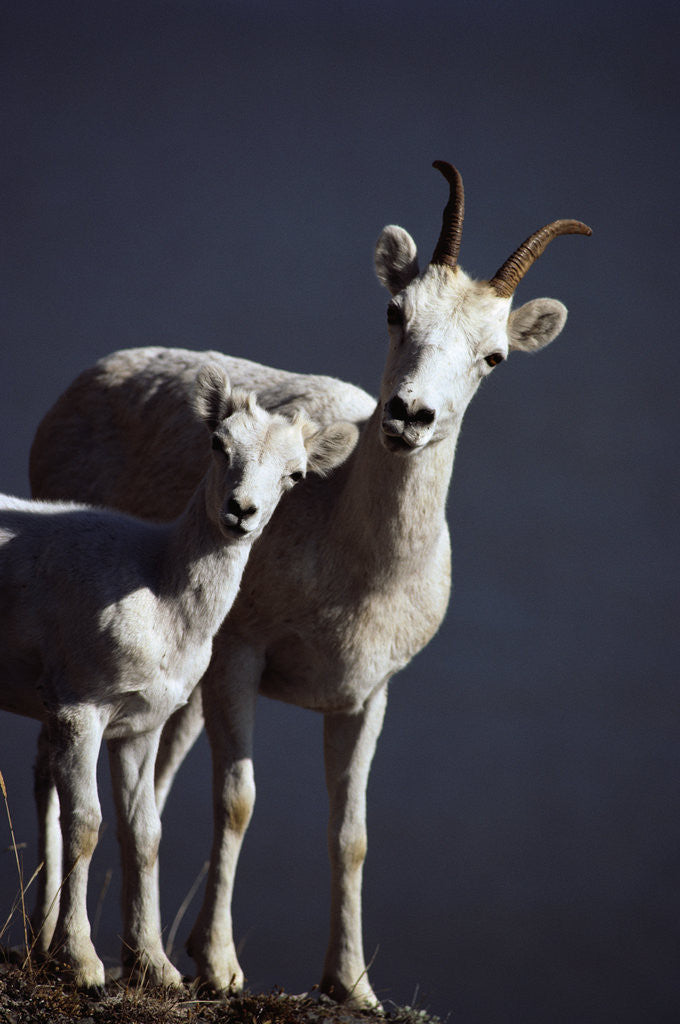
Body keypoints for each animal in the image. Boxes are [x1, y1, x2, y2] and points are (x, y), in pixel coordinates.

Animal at [1, 364, 357, 992]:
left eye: (295, 475)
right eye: (218, 444)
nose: (240, 512)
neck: (158, 590)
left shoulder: (139, 726)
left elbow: (144, 833)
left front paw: (156, 968)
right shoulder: (79, 709)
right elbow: (86, 823)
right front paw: (84, 964)